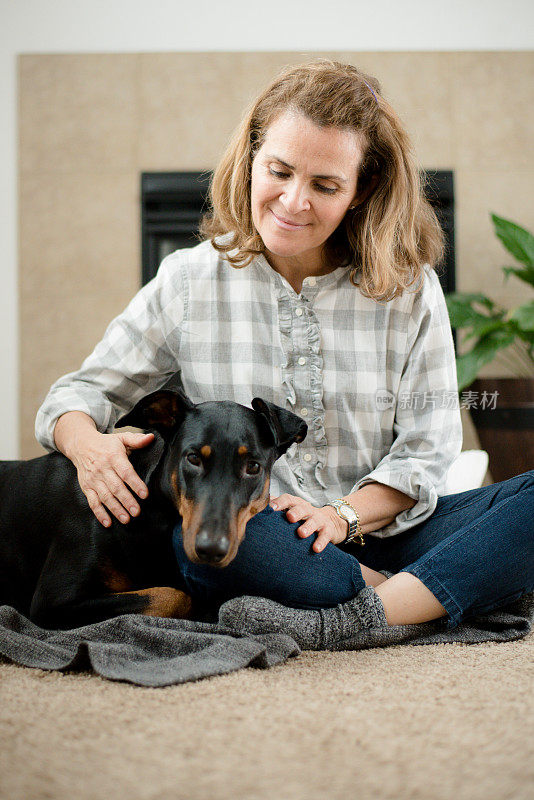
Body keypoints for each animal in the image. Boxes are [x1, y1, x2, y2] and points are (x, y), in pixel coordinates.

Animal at [0, 390, 308, 632]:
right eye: (193, 458)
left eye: (253, 467)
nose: (210, 550)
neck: (150, 515)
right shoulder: (54, 600)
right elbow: (172, 596)